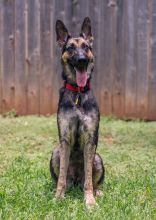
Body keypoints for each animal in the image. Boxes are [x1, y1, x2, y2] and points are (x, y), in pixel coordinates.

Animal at [49, 17, 104, 208]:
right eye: (70, 47)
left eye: (86, 47)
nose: (81, 60)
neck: (78, 93)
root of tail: (75, 178)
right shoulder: (65, 139)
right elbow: (61, 178)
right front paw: (58, 197)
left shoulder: (90, 139)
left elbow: (88, 180)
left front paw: (90, 201)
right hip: (55, 153)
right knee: (62, 177)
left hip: (98, 158)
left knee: (92, 180)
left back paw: (97, 191)